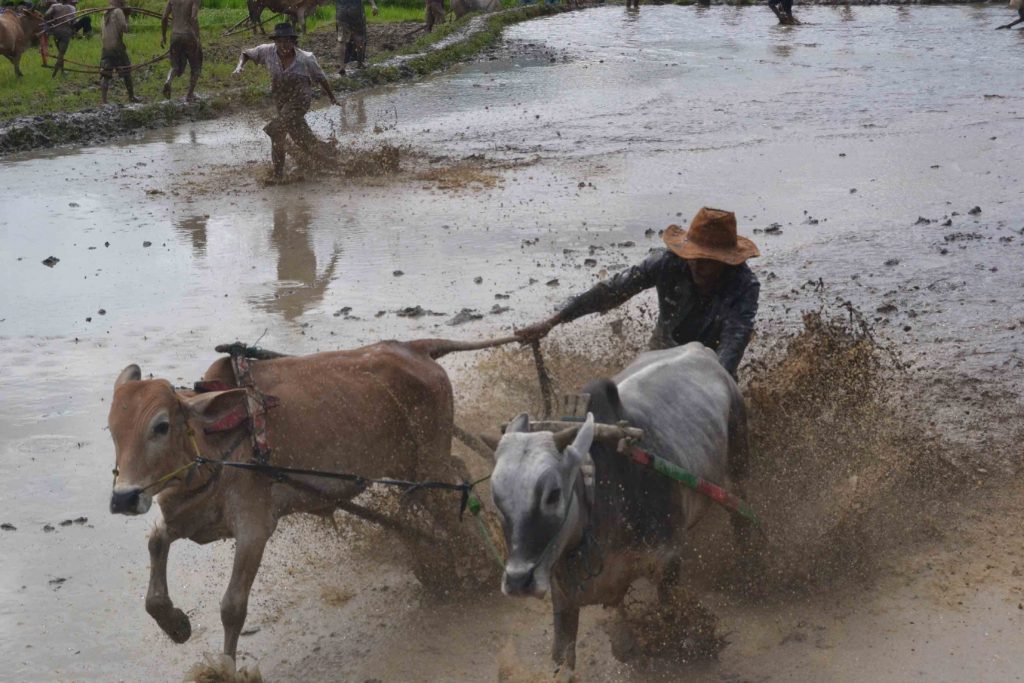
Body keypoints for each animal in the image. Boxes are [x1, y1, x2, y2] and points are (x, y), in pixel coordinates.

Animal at [487, 344, 753, 671]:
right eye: (496, 497)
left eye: (553, 494)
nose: (517, 581)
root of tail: (701, 350)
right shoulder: (564, 598)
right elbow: (571, 656)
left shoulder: (667, 561)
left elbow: (672, 622)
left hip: (738, 465)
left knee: (742, 517)